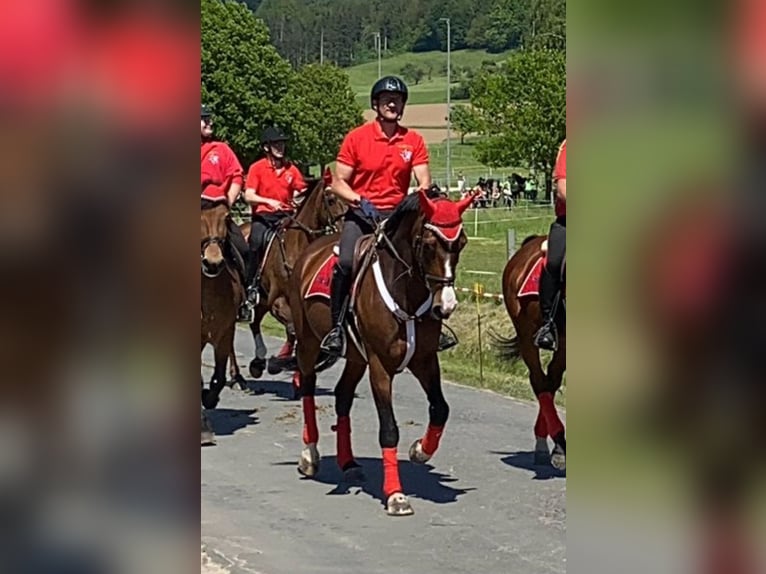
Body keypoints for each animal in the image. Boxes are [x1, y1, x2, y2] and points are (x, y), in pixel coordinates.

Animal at [238, 178, 350, 398]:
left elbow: (299, 334)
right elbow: (292, 330)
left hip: (263, 300)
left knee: (255, 323)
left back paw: (257, 363)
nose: (344, 229)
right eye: (331, 198)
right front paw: (280, 364)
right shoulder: (279, 302)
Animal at [290, 188, 474, 516]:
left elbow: (440, 409)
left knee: (343, 396)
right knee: (308, 388)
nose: (447, 305)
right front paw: (396, 495)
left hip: (355, 356)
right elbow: (389, 429)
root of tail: (309, 253)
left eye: (461, 243)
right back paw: (310, 455)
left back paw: (348, 463)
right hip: (310, 343)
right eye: (429, 245)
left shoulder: (425, 360)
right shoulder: (380, 366)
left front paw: (420, 450)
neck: (407, 291)